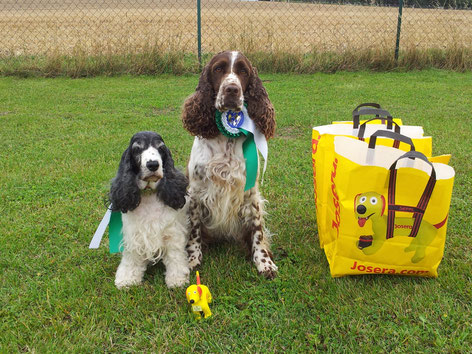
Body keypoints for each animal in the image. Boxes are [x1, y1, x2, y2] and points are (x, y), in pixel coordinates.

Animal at [110, 131, 190, 290]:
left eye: (161, 148)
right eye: (137, 148)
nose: (153, 164)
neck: (148, 194)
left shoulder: (172, 233)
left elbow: (175, 256)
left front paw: (177, 279)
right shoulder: (133, 233)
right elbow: (131, 257)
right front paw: (127, 278)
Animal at [181, 51, 276, 280]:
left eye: (243, 71)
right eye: (218, 69)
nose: (232, 89)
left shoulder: (250, 193)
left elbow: (257, 230)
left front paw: (264, 262)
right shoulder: (196, 193)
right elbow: (194, 230)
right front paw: (192, 258)